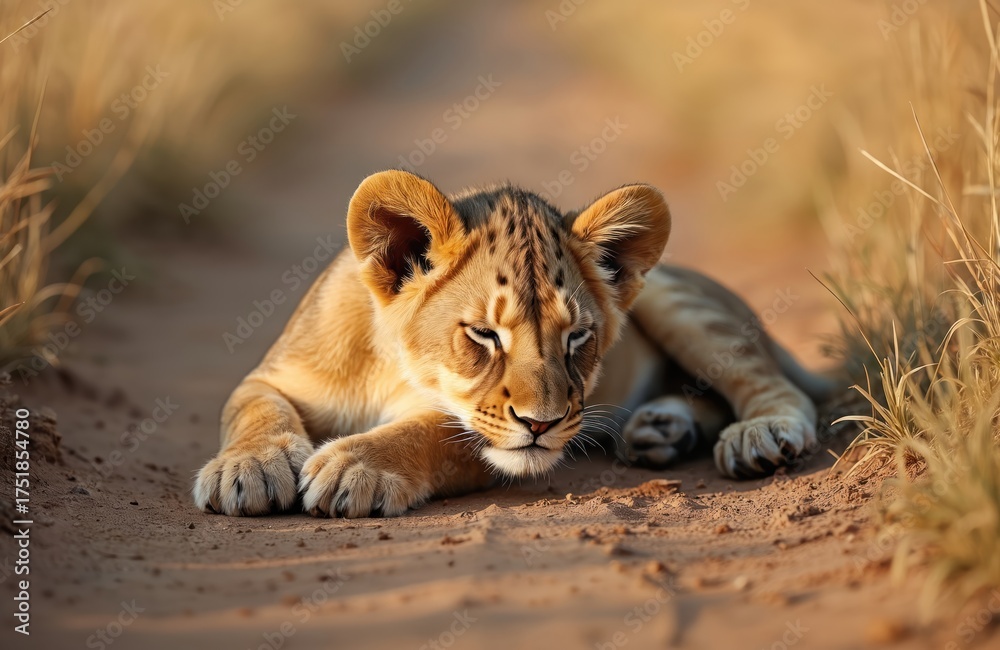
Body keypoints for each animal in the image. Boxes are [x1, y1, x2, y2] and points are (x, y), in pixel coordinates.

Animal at [194, 170, 837, 517]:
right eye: (483, 334)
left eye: (578, 336)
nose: (542, 424)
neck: (390, 365)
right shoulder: (275, 376)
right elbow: (250, 409)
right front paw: (248, 468)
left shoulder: (469, 437)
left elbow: (426, 431)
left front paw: (353, 465)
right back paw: (661, 430)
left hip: (677, 300)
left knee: (777, 387)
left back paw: (759, 435)